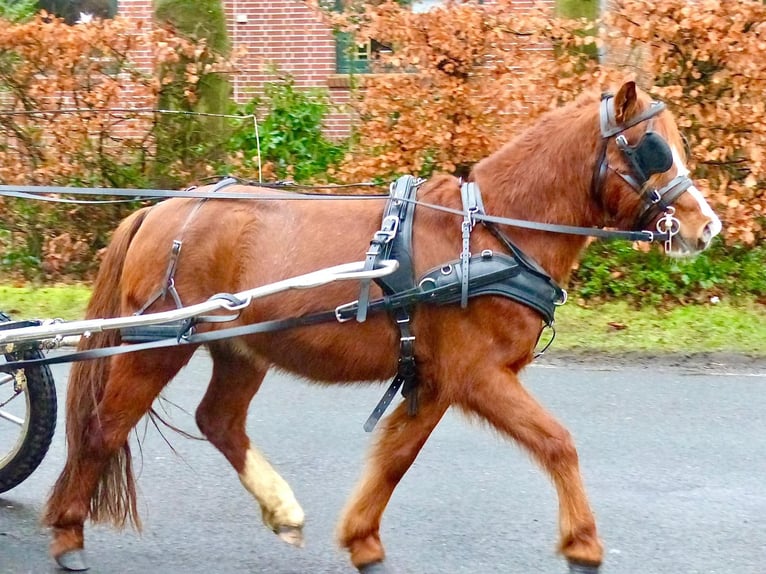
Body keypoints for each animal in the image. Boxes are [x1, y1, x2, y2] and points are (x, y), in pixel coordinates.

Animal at [46, 82, 720, 574]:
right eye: (653, 146)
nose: (706, 226)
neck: (491, 233)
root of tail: (162, 209)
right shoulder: (477, 375)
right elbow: (557, 442)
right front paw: (583, 545)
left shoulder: (437, 379)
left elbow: (396, 457)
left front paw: (363, 541)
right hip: (158, 346)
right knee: (103, 430)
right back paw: (68, 534)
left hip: (241, 348)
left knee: (219, 421)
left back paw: (281, 509)